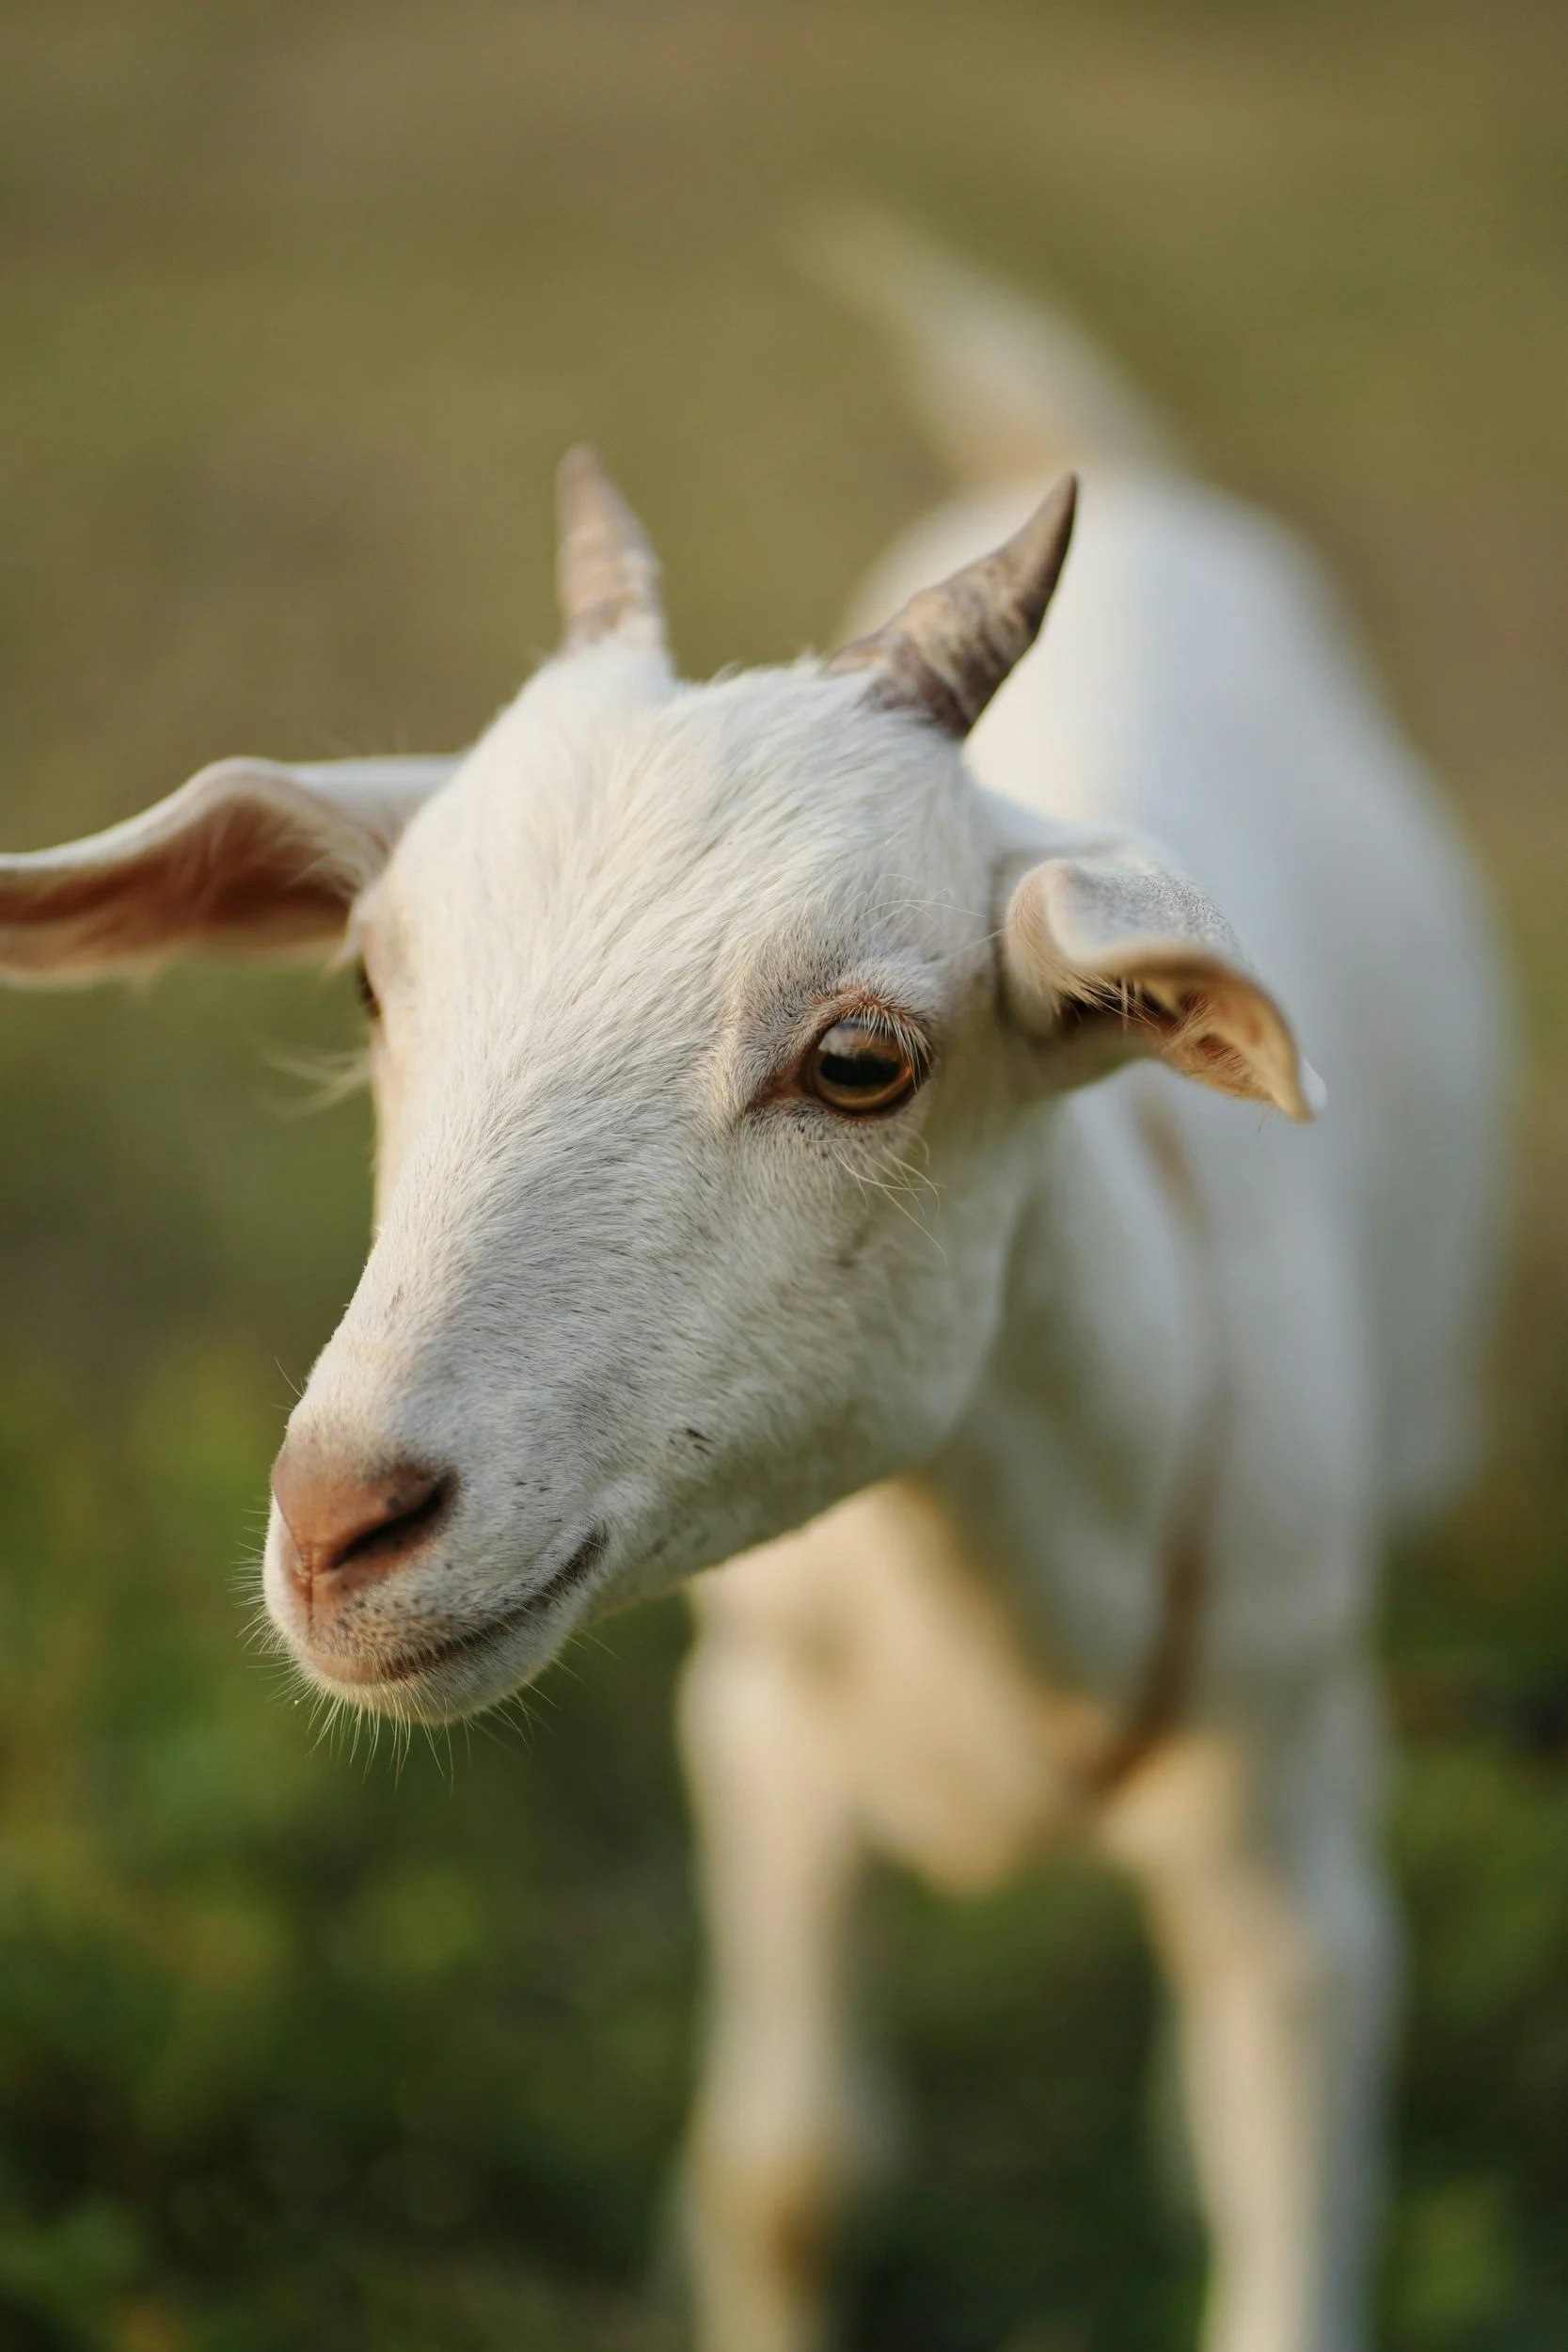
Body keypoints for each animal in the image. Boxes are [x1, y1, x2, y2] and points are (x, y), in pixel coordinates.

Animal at [0, 224, 1508, 2352]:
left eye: (862, 1057)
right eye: (370, 979)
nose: (341, 1527)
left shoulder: (1284, 1836)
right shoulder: (764, 1745)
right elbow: (787, 2175)